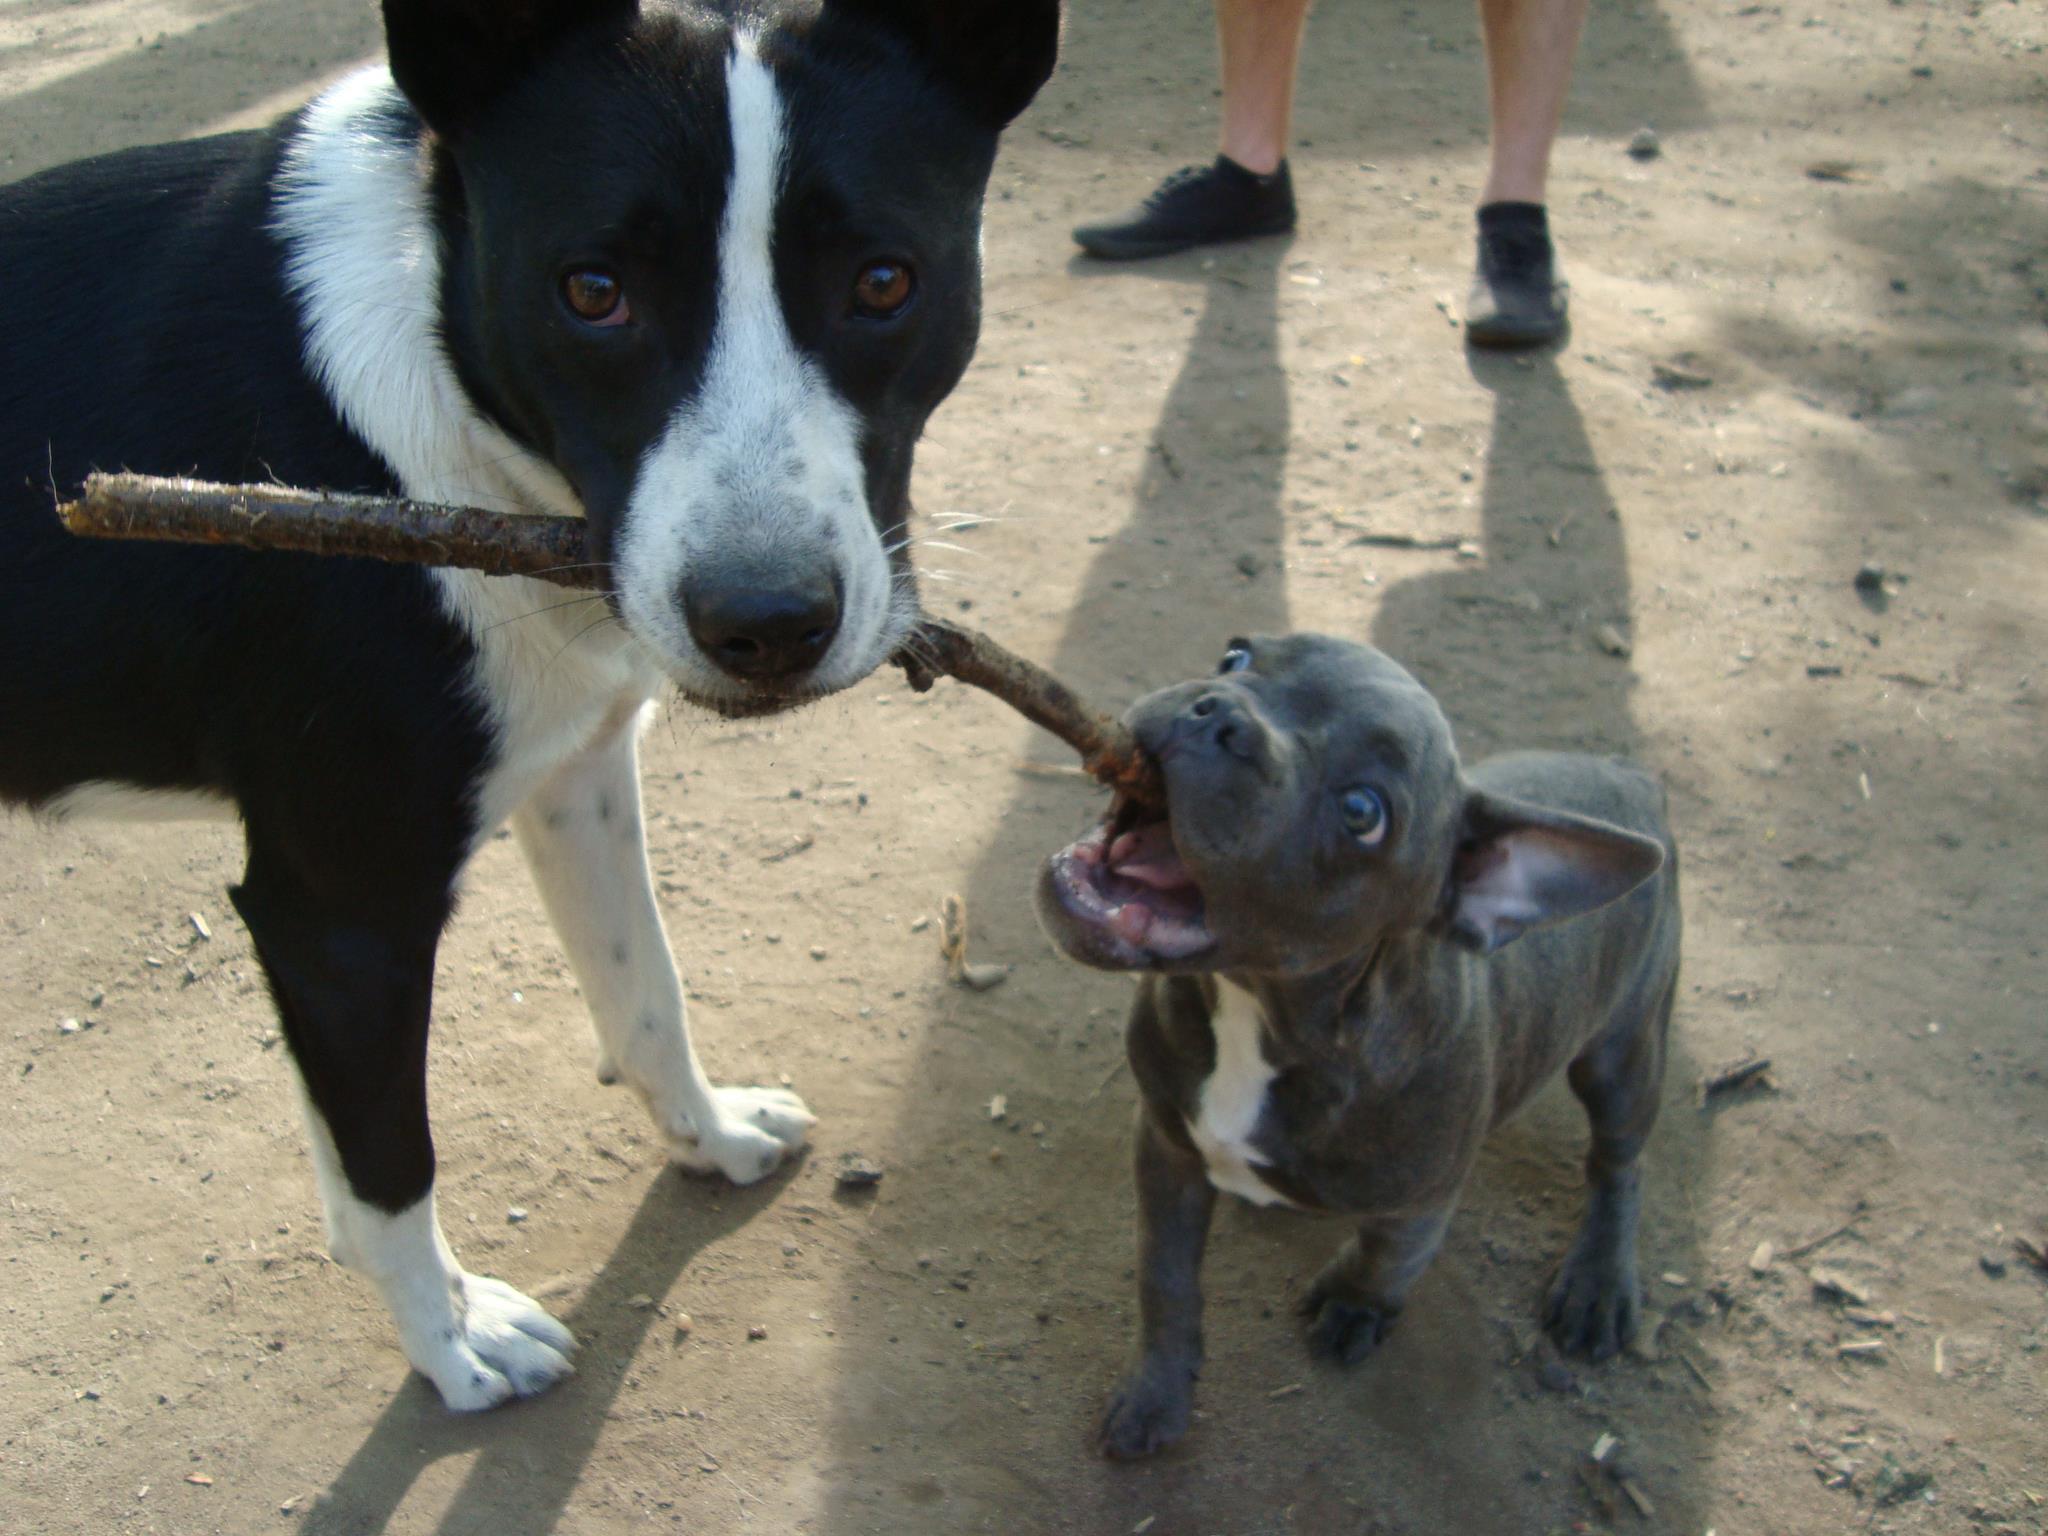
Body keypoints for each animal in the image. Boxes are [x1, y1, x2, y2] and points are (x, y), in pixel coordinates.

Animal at [0, 0, 1056, 1417]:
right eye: (590, 291)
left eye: (884, 281)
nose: (766, 627)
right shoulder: (337, 916)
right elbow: (389, 1170)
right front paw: (451, 1346)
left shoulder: (577, 767)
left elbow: (643, 986)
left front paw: (707, 1134)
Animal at [1040, 638, 1679, 1466]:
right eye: (1235, 656)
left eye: (1362, 813)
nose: (1216, 713)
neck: (1265, 1016)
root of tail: (1632, 779)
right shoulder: (1168, 1146)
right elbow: (1166, 1281)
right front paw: (1155, 1398)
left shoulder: (1421, 1200)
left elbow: (1386, 1257)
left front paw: (1354, 1306)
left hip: (1624, 1054)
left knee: (1619, 1159)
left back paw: (1598, 1284)